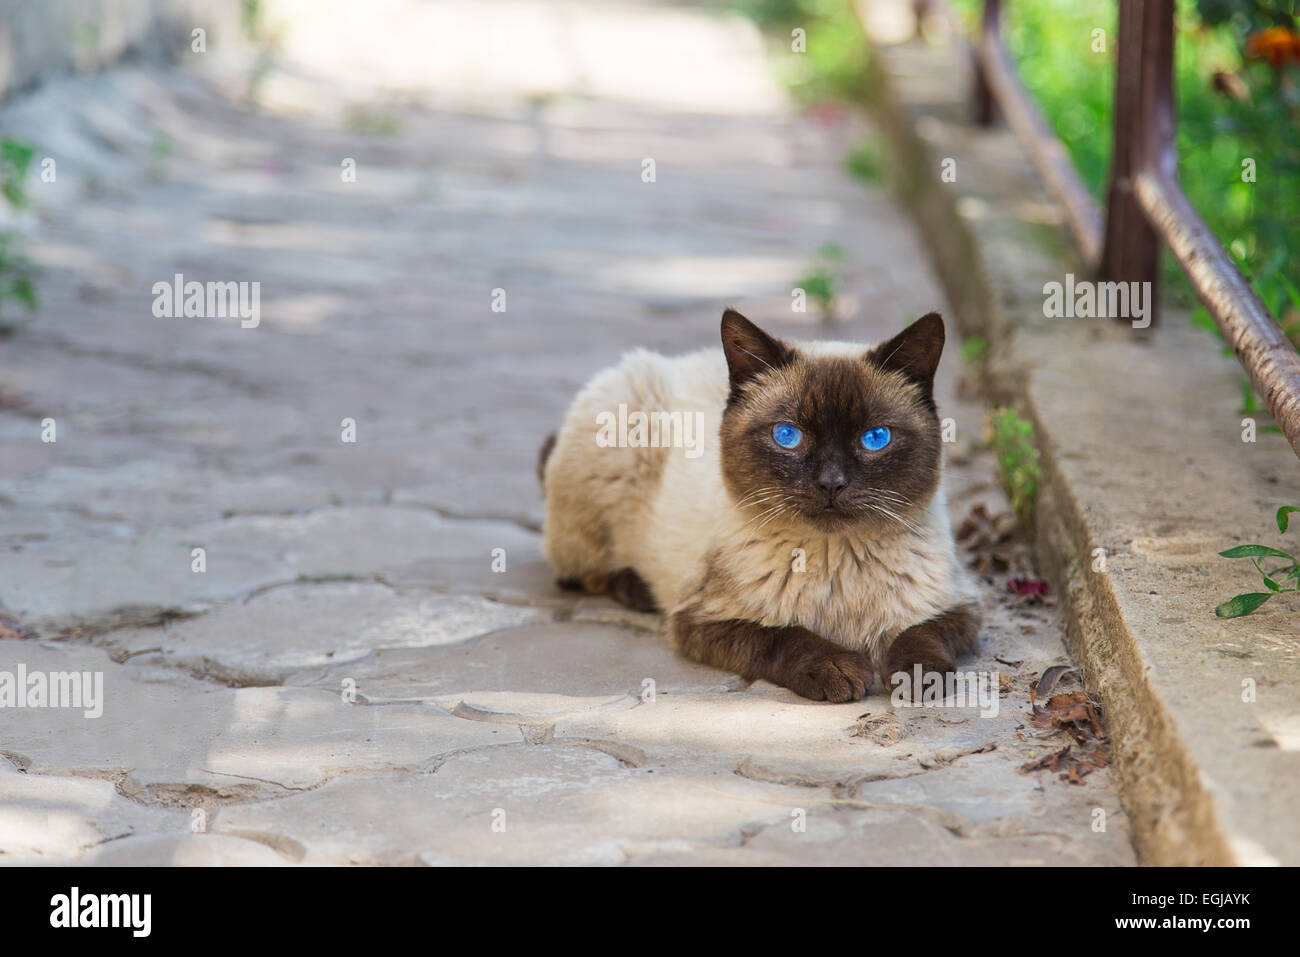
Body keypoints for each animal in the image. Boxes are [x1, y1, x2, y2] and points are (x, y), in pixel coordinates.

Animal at [535, 308, 977, 702]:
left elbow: (919, 634)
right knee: (577, 573)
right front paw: (840, 669)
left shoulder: (961, 606)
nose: (831, 483)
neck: (836, 562)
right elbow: (784, 636)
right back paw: (639, 590)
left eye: (875, 438)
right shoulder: (703, 620)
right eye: (787, 435)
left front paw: (918, 680)